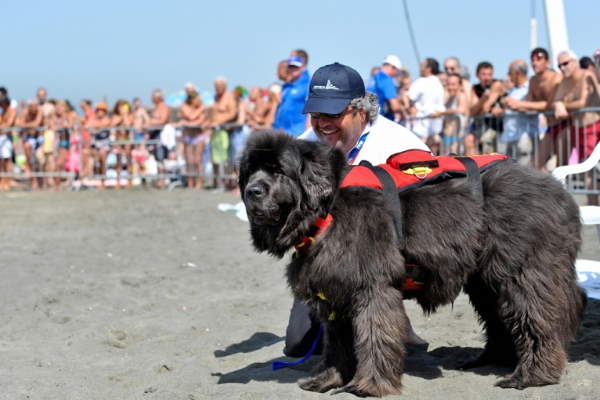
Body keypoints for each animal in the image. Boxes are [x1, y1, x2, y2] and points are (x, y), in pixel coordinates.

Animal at [238, 131, 584, 396]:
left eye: (278, 170)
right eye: (250, 171)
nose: (252, 191)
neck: (328, 209)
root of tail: (557, 190)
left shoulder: (373, 287)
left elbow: (374, 335)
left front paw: (368, 386)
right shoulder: (337, 294)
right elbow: (336, 344)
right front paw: (328, 380)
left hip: (521, 271)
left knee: (536, 316)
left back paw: (531, 375)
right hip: (485, 279)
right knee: (500, 315)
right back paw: (495, 359)